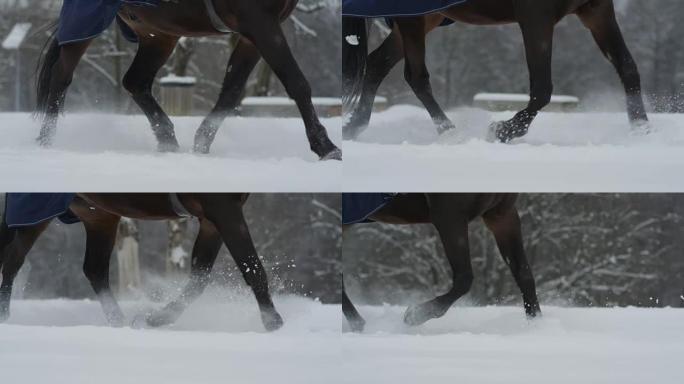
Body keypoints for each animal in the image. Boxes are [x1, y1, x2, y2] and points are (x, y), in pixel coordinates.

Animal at [0, 194, 284, 332]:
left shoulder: (211, 220)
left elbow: (199, 278)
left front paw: (156, 318)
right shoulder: (223, 208)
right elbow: (251, 266)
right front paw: (273, 322)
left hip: (99, 216)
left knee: (95, 269)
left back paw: (119, 322)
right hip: (37, 215)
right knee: (13, 260)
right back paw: (4, 317)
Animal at [36, 0, 340, 159]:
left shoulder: (250, 35)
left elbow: (232, 90)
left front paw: (201, 144)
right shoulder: (261, 24)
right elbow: (297, 82)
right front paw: (325, 146)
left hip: (158, 34)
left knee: (136, 82)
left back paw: (168, 141)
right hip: (87, 25)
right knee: (61, 76)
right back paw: (46, 140)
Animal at [342, 194, 540, 332]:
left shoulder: (502, 214)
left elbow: (524, 274)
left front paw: (536, 323)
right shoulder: (450, 215)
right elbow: (464, 279)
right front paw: (417, 314)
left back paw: (358, 324)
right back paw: (359, 324)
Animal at [344, 0, 648, 142]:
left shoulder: (598, 11)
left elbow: (628, 66)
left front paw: (641, 126)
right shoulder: (535, 16)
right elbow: (542, 88)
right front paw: (505, 129)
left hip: (424, 19)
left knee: (375, 64)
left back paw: (355, 126)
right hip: (413, 20)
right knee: (415, 76)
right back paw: (449, 132)